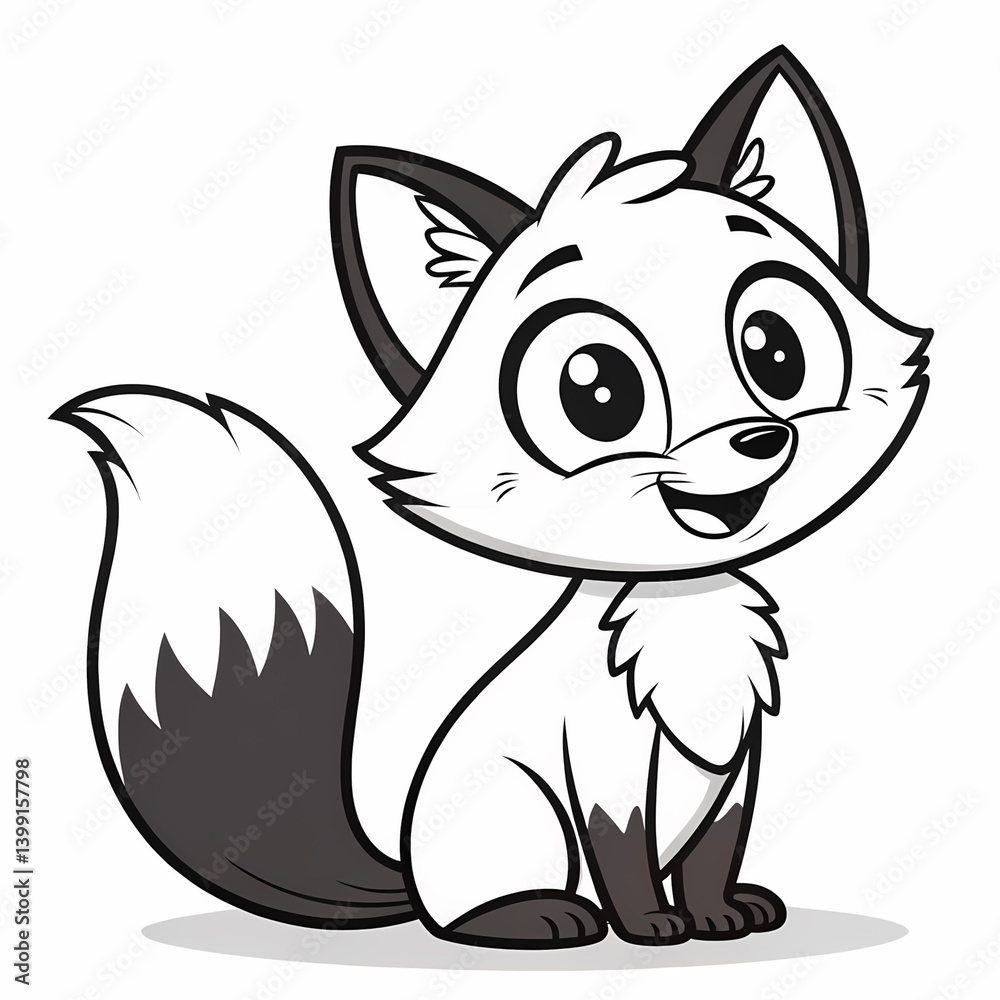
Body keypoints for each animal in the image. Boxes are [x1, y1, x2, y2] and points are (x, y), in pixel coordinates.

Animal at [55, 48, 929, 950]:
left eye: (775, 351)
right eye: (597, 391)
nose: (761, 438)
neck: (685, 606)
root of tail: (407, 871)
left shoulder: (737, 758)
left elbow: (716, 847)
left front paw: (719, 914)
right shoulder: (603, 766)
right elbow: (623, 850)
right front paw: (651, 926)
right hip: (521, 816)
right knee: (481, 908)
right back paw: (541, 917)